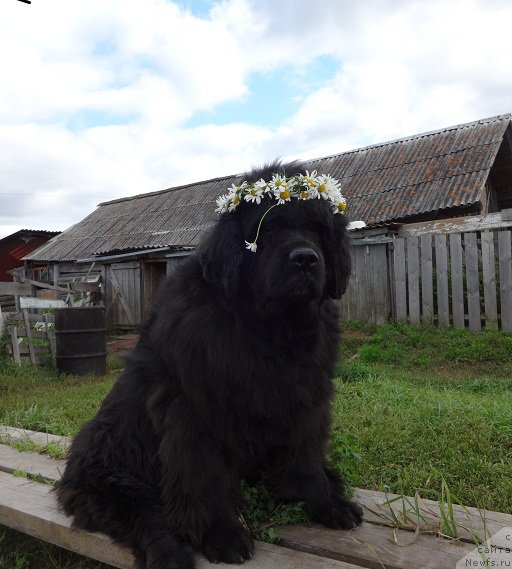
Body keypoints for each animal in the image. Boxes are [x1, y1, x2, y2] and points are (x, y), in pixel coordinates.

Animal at [54, 161, 362, 568]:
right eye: (268, 229)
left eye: (317, 229)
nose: (305, 259)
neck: (267, 326)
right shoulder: (193, 413)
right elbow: (204, 477)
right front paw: (223, 535)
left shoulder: (306, 398)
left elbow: (307, 456)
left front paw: (327, 502)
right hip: (115, 468)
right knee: (144, 513)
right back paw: (170, 553)